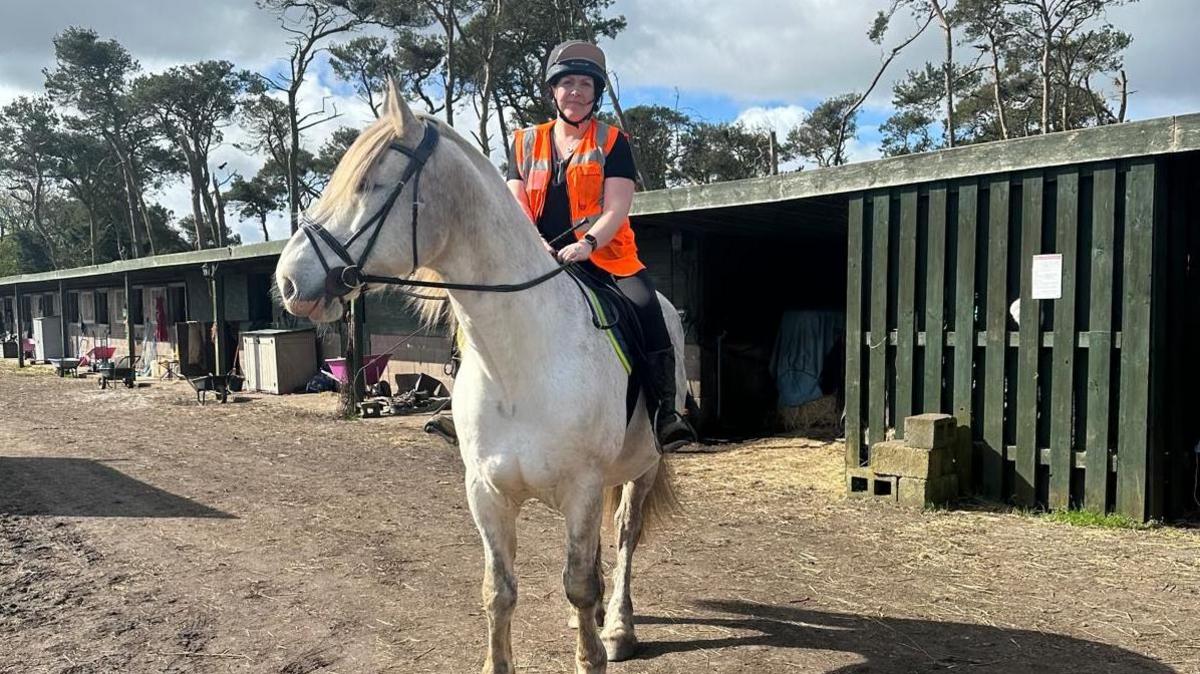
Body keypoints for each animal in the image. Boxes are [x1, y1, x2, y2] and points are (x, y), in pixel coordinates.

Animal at [274, 85, 686, 671]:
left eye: (369, 185)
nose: (288, 281)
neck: (520, 361)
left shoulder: (582, 489)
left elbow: (578, 583)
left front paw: (593, 652)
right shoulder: (486, 492)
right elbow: (500, 591)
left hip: (642, 469)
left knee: (626, 536)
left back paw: (618, 627)